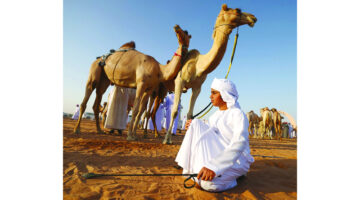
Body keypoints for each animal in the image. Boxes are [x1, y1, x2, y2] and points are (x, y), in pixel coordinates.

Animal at [162, 3, 258, 144]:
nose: (253, 17)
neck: (199, 66)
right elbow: (174, 111)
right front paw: (167, 139)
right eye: (237, 10)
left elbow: (190, 114)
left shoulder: (197, 87)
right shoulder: (179, 82)